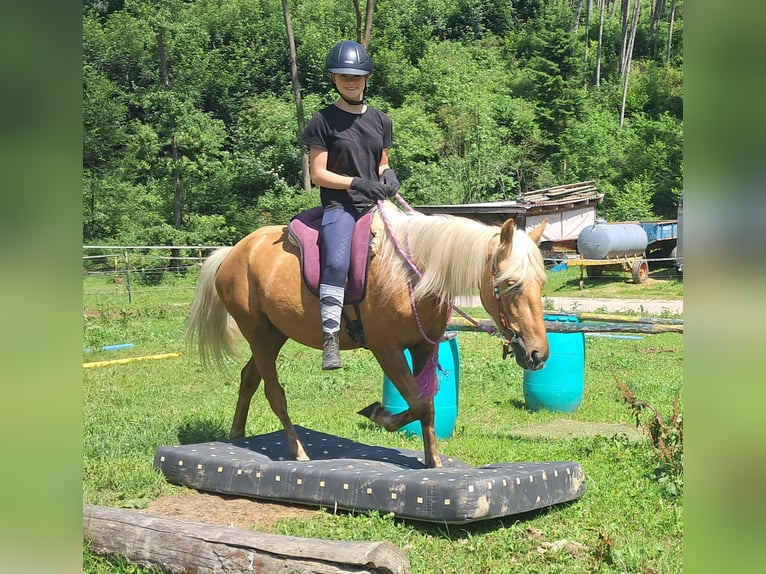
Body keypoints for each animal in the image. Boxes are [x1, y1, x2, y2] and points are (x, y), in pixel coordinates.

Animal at [186, 200, 549, 468]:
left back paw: (237, 434)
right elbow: (417, 404)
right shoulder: (386, 349)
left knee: (249, 377)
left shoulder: (423, 347)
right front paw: (378, 414)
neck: (410, 275)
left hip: (274, 334)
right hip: (258, 333)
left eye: (541, 282)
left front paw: (433, 463)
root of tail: (233, 252)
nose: (538, 354)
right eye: (510, 284)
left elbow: (428, 406)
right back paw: (298, 451)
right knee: (274, 392)